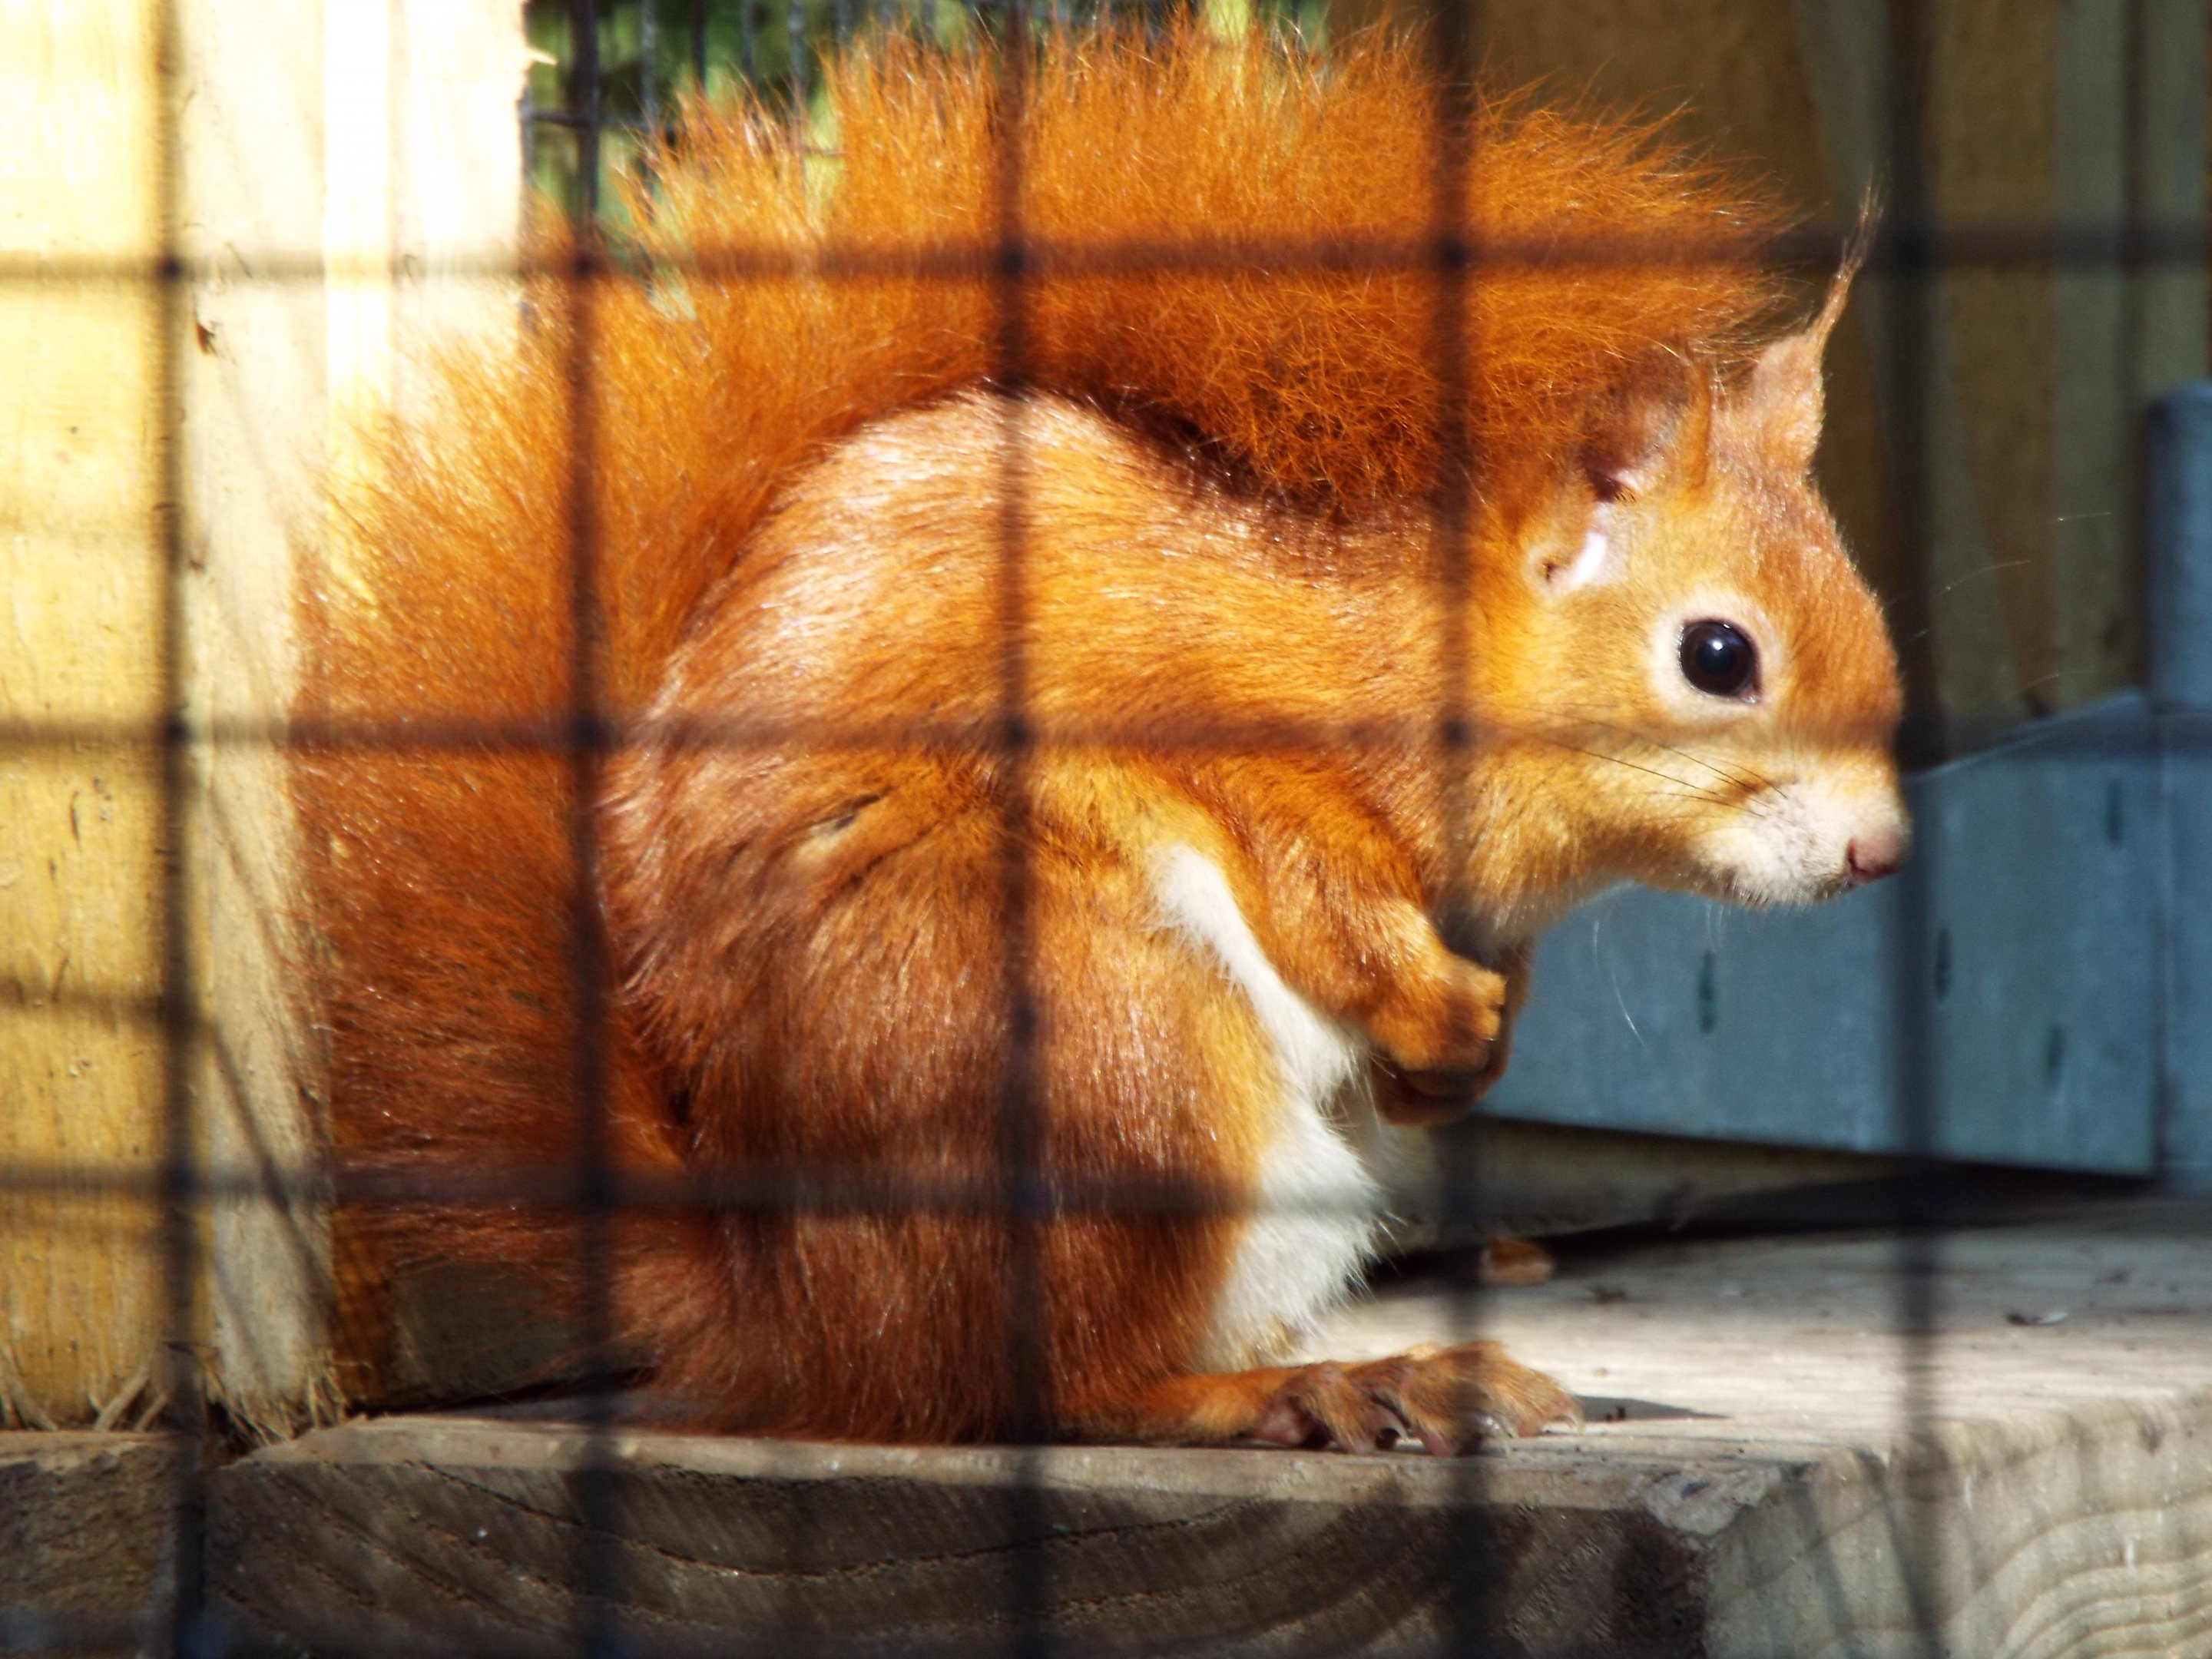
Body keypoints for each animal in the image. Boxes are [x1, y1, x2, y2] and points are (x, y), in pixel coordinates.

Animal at [297, 25, 1907, 1454]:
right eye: (1718, 656)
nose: (1882, 850)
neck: (1420, 650)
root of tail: (807, 1317)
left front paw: (1466, 1055)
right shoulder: (1220, 730)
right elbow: (1313, 876)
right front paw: (1436, 1007)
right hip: (1103, 1046)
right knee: (1065, 1386)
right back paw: (1308, 1391)